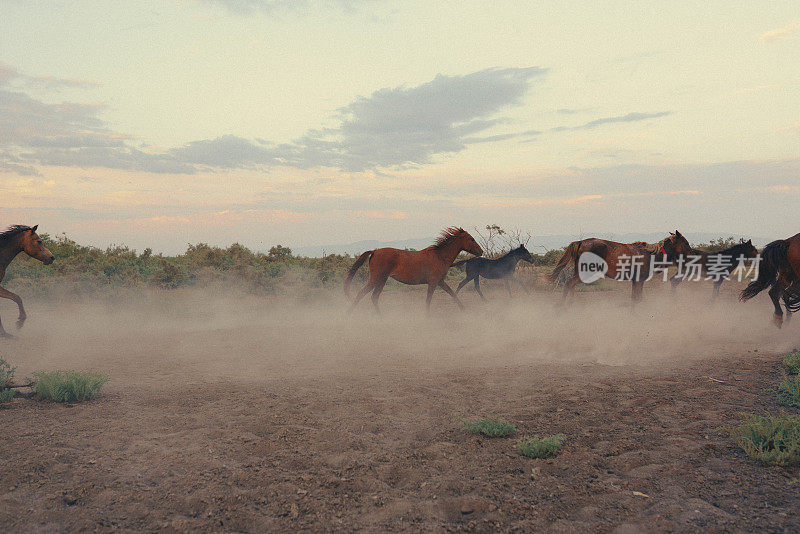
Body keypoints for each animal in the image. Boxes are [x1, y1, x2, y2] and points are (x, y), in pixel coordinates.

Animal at [342, 227, 482, 314]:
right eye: (471, 239)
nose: (481, 251)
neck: (440, 256)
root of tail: (375, 251)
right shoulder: (433, 282)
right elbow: (428, 299)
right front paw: (427, 316)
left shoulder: (440, 281)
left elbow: (452, 293)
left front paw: (464, 309)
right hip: (376, 278)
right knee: (361, 294)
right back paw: (348, 314)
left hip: (382, 280)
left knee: (374, 297)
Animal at [552, 232, 692, 304]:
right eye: (686, 242)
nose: (692, 253)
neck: (650, 254)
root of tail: (580, 242)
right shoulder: (639, 280)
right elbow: (638, 299)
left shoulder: (635, 281)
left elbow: (634, 298)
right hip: (585, 272)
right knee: (569, 283)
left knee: (571, 286)